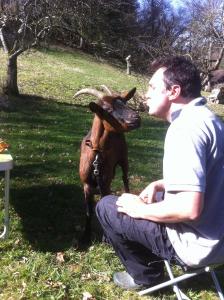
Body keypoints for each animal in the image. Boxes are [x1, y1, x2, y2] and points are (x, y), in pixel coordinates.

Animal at [74, 87, 140, 241]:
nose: (136, 119)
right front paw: (86, 235)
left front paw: (105, 237)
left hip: (124, 158)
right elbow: (89, 210)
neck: (97, 154)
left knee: (125, 178)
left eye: (125, 103)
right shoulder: (86, 184)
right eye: (107, 109)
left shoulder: (105, 183)